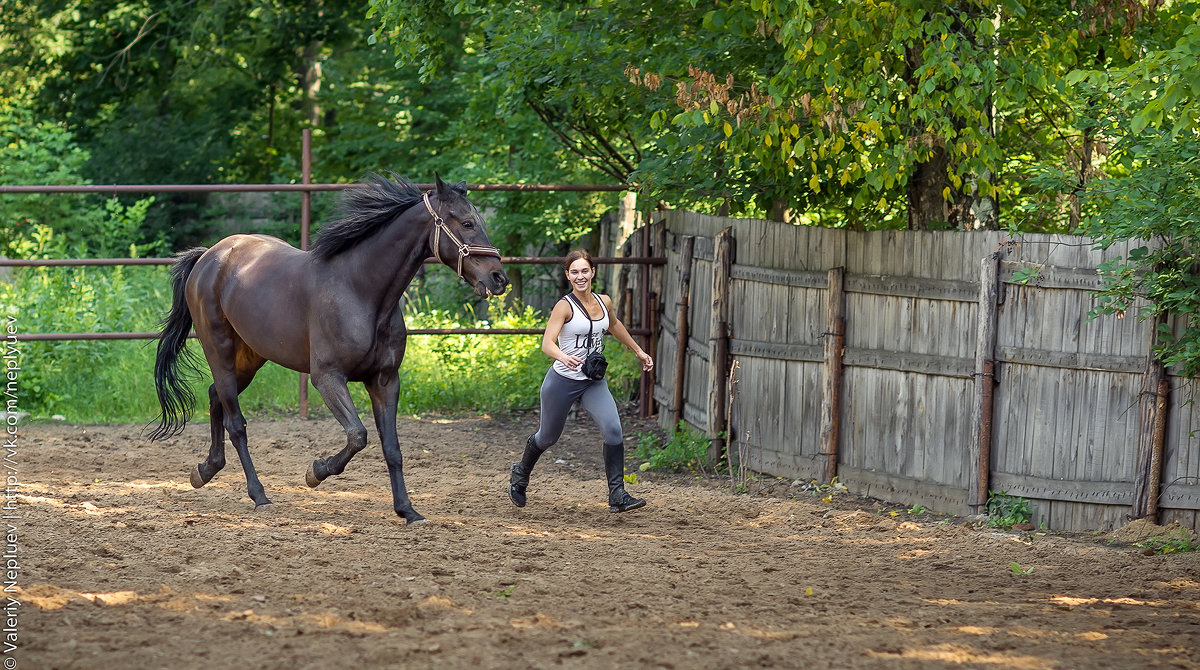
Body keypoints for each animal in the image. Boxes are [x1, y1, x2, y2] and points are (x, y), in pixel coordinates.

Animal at [148, 172, 506, 525]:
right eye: (467, 223)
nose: (498, 278)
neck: (360, 290)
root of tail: (209, 256)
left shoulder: (385, 381)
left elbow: (391, 448)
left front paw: (408, 511)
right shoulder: (327, 378)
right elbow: (358, 435)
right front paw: (316, 472)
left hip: (250, 357)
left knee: (214, 397)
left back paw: (204, 471)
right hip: (218, 349)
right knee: (236, 423)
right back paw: (260, 496)